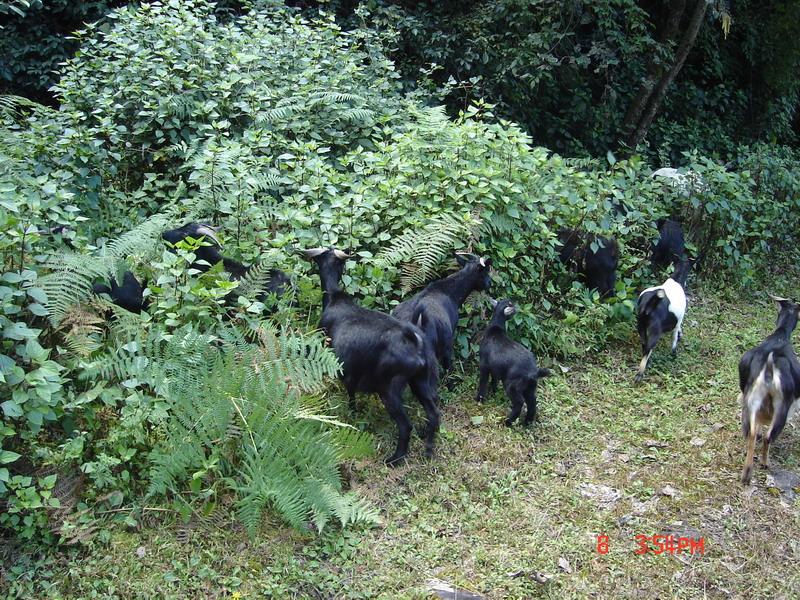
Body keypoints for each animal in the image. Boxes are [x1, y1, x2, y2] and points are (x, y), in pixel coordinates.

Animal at [300, 246, 440, 466]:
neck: (334, 299)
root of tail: (416, 342)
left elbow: (349, 392)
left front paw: (351, 412)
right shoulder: (352, 370)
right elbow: (351, 391)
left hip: (389, 388)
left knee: (405, 425)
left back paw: (394, 459)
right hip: (420, 381)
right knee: (434, 415)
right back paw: (428, 450)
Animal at [736, 298, 800, 486]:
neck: (780, 335)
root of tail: (769, 371)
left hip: (751, 400)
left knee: (751, 435)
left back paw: (746, 474)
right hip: (781, 407)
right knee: (768, 436)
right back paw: (765, 463)